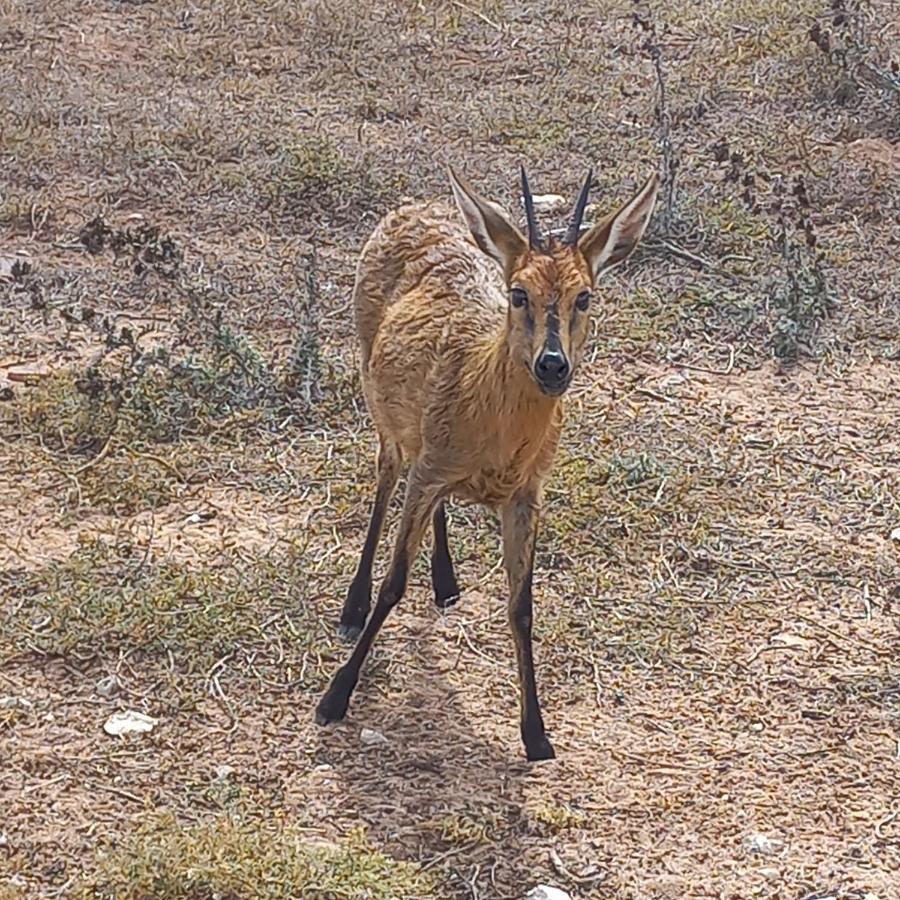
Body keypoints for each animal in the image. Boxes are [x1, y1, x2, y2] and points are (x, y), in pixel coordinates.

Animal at [312, 163, 656, 760]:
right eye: (518, 293)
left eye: (584, 297)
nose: (552, 365)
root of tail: (411, 206)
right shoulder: (428, 470)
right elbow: (394, 583)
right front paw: (334, 697)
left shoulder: (525, 494)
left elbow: (522, 606)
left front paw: (537, 734)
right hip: (378, 398)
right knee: (384, 475)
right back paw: (353, 608)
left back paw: (446, 581)